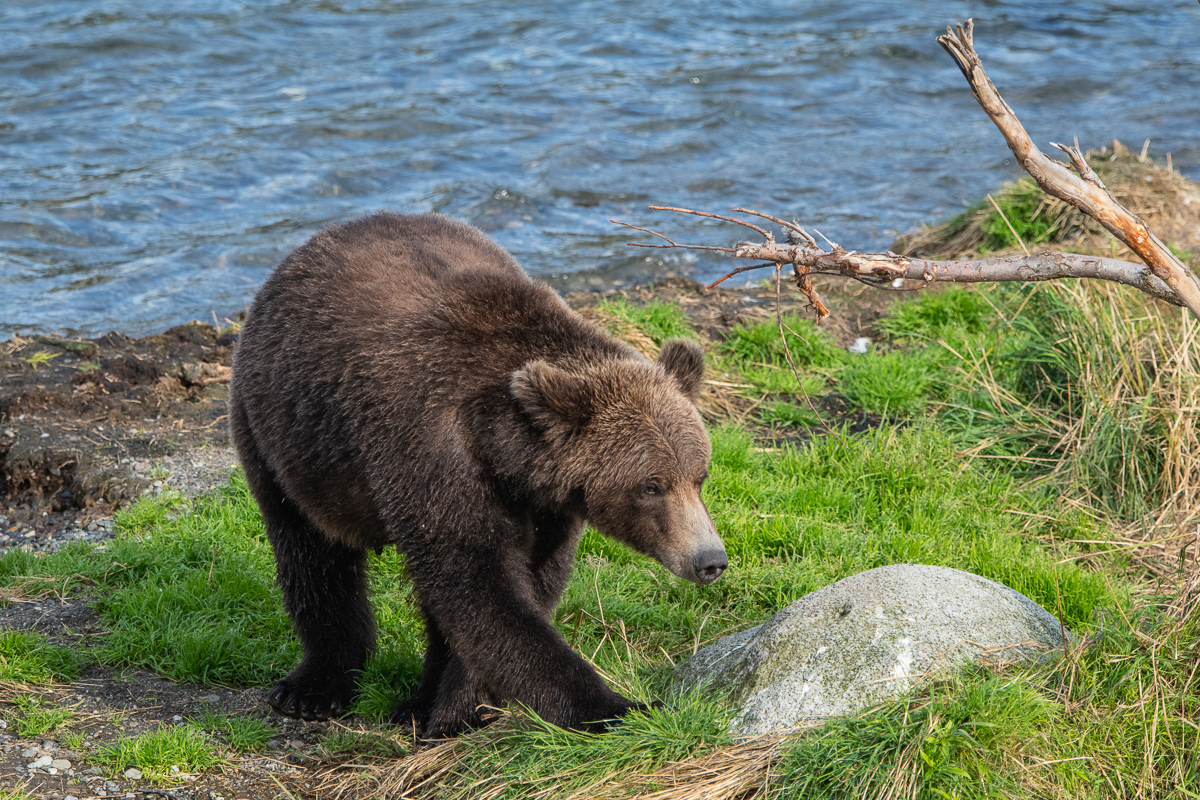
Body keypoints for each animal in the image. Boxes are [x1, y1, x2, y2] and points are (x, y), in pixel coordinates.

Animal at [229, 212, 724, 738]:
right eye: (651, 486)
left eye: (699, 476)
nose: (710, 559)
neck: (501, 449)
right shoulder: (434, 456)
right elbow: (479, 585)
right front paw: (617, 707)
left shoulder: (544, 503)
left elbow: (525, 582)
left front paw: (450, 707)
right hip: (283, 437)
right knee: (311, 553)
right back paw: (313, 688)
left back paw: (414, 699)